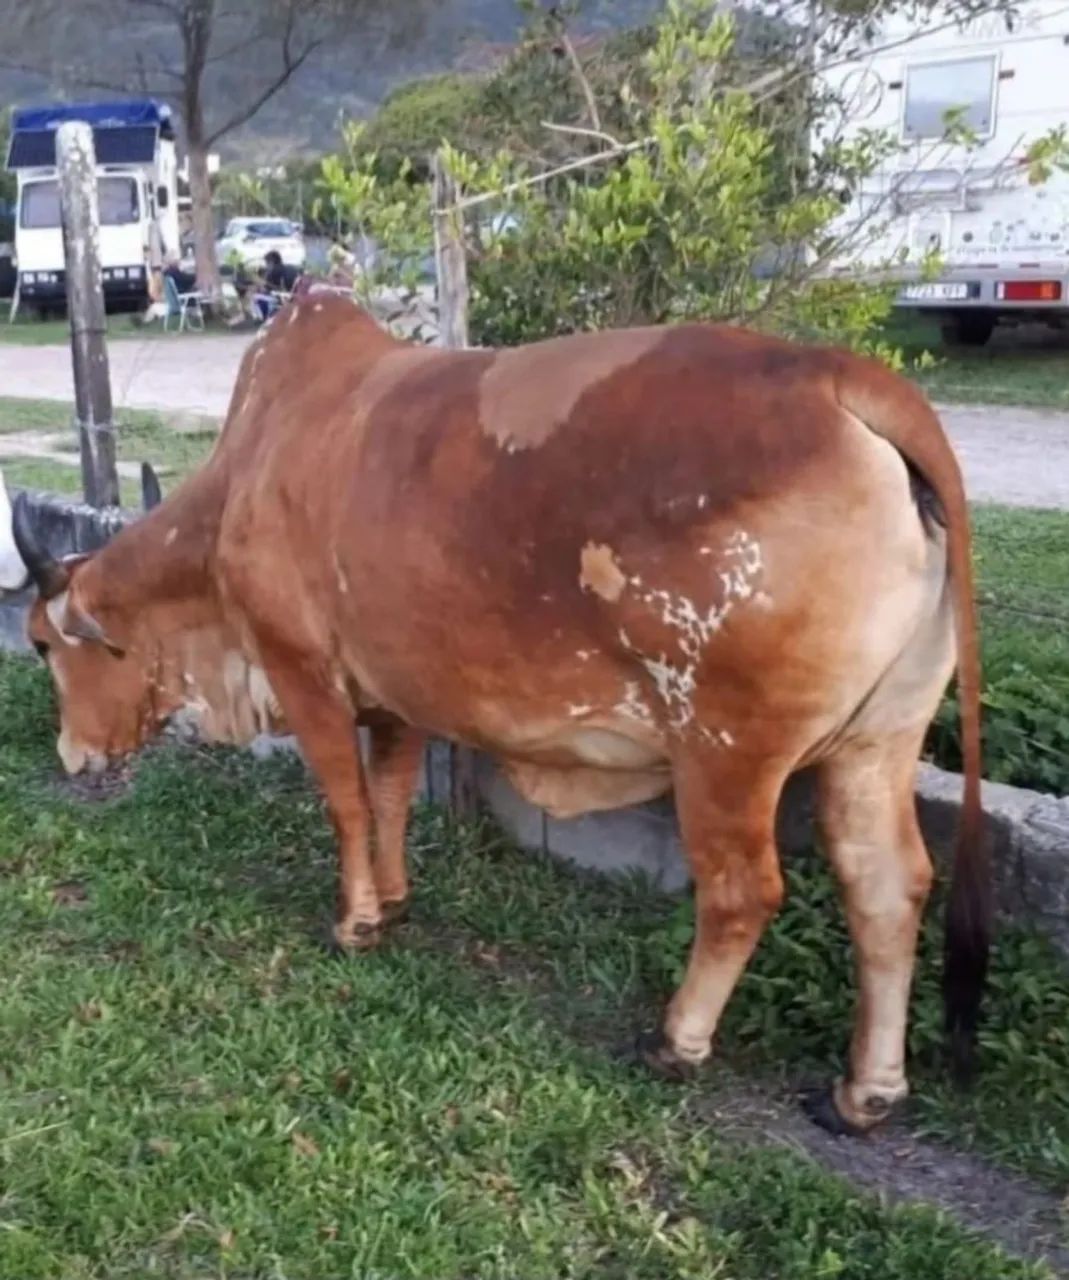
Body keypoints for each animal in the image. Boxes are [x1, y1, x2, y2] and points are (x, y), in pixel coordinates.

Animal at [13, 295, 987, 1137]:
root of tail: (841, 377)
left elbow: (347, 801)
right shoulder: (393, 696)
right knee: (886, 884)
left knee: (742, 891)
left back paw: (677, 1041)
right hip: (877, 740)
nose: (70, 754)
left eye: (40, 644)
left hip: (725, 751)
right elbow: (391, 797)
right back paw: (864, 1093)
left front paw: (355, 922)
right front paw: (394, 899)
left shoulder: (304, 674)